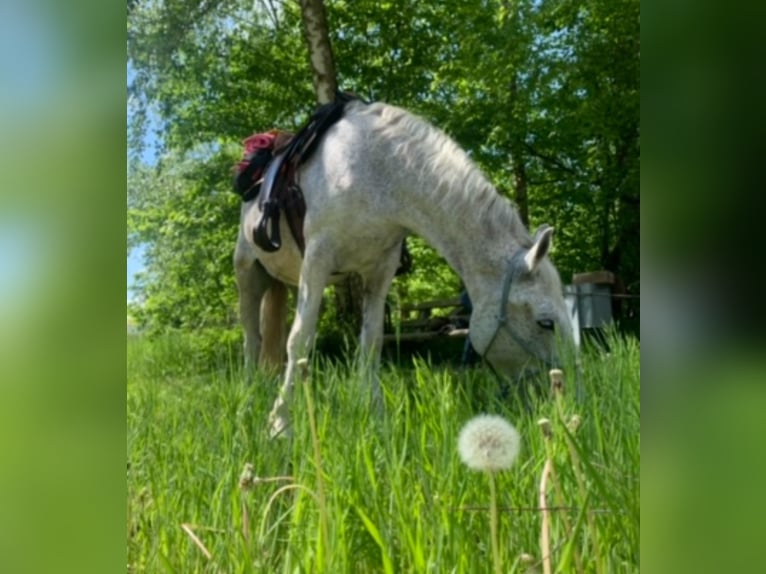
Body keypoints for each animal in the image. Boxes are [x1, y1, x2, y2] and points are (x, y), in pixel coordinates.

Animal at [234, 99, 576, 436]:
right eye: (546, 322)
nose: (569, 402)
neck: (373, 171)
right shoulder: (318, 258)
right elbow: (299, 340)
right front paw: (280, 425)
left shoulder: (380, 270)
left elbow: (371, 344)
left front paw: (375, 420)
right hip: (249, 273)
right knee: (252, 339)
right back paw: (248, 399)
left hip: (291, 281)